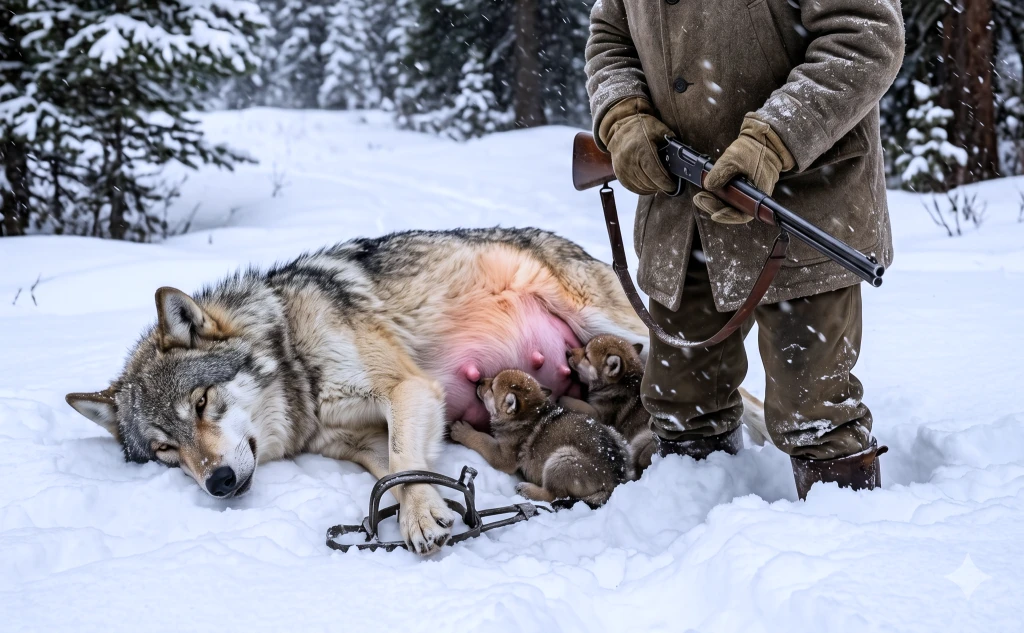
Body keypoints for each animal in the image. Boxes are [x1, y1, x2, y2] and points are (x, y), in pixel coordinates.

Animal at [450, 369, 633, 507]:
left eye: (492, 388)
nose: (479, 381)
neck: (531, 412)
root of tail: (614, 481)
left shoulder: (503, 458)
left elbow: (481, 439)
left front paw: (462, 432)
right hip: (613, 434)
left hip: (562, 459)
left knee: (554, 495)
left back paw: (526, 489)